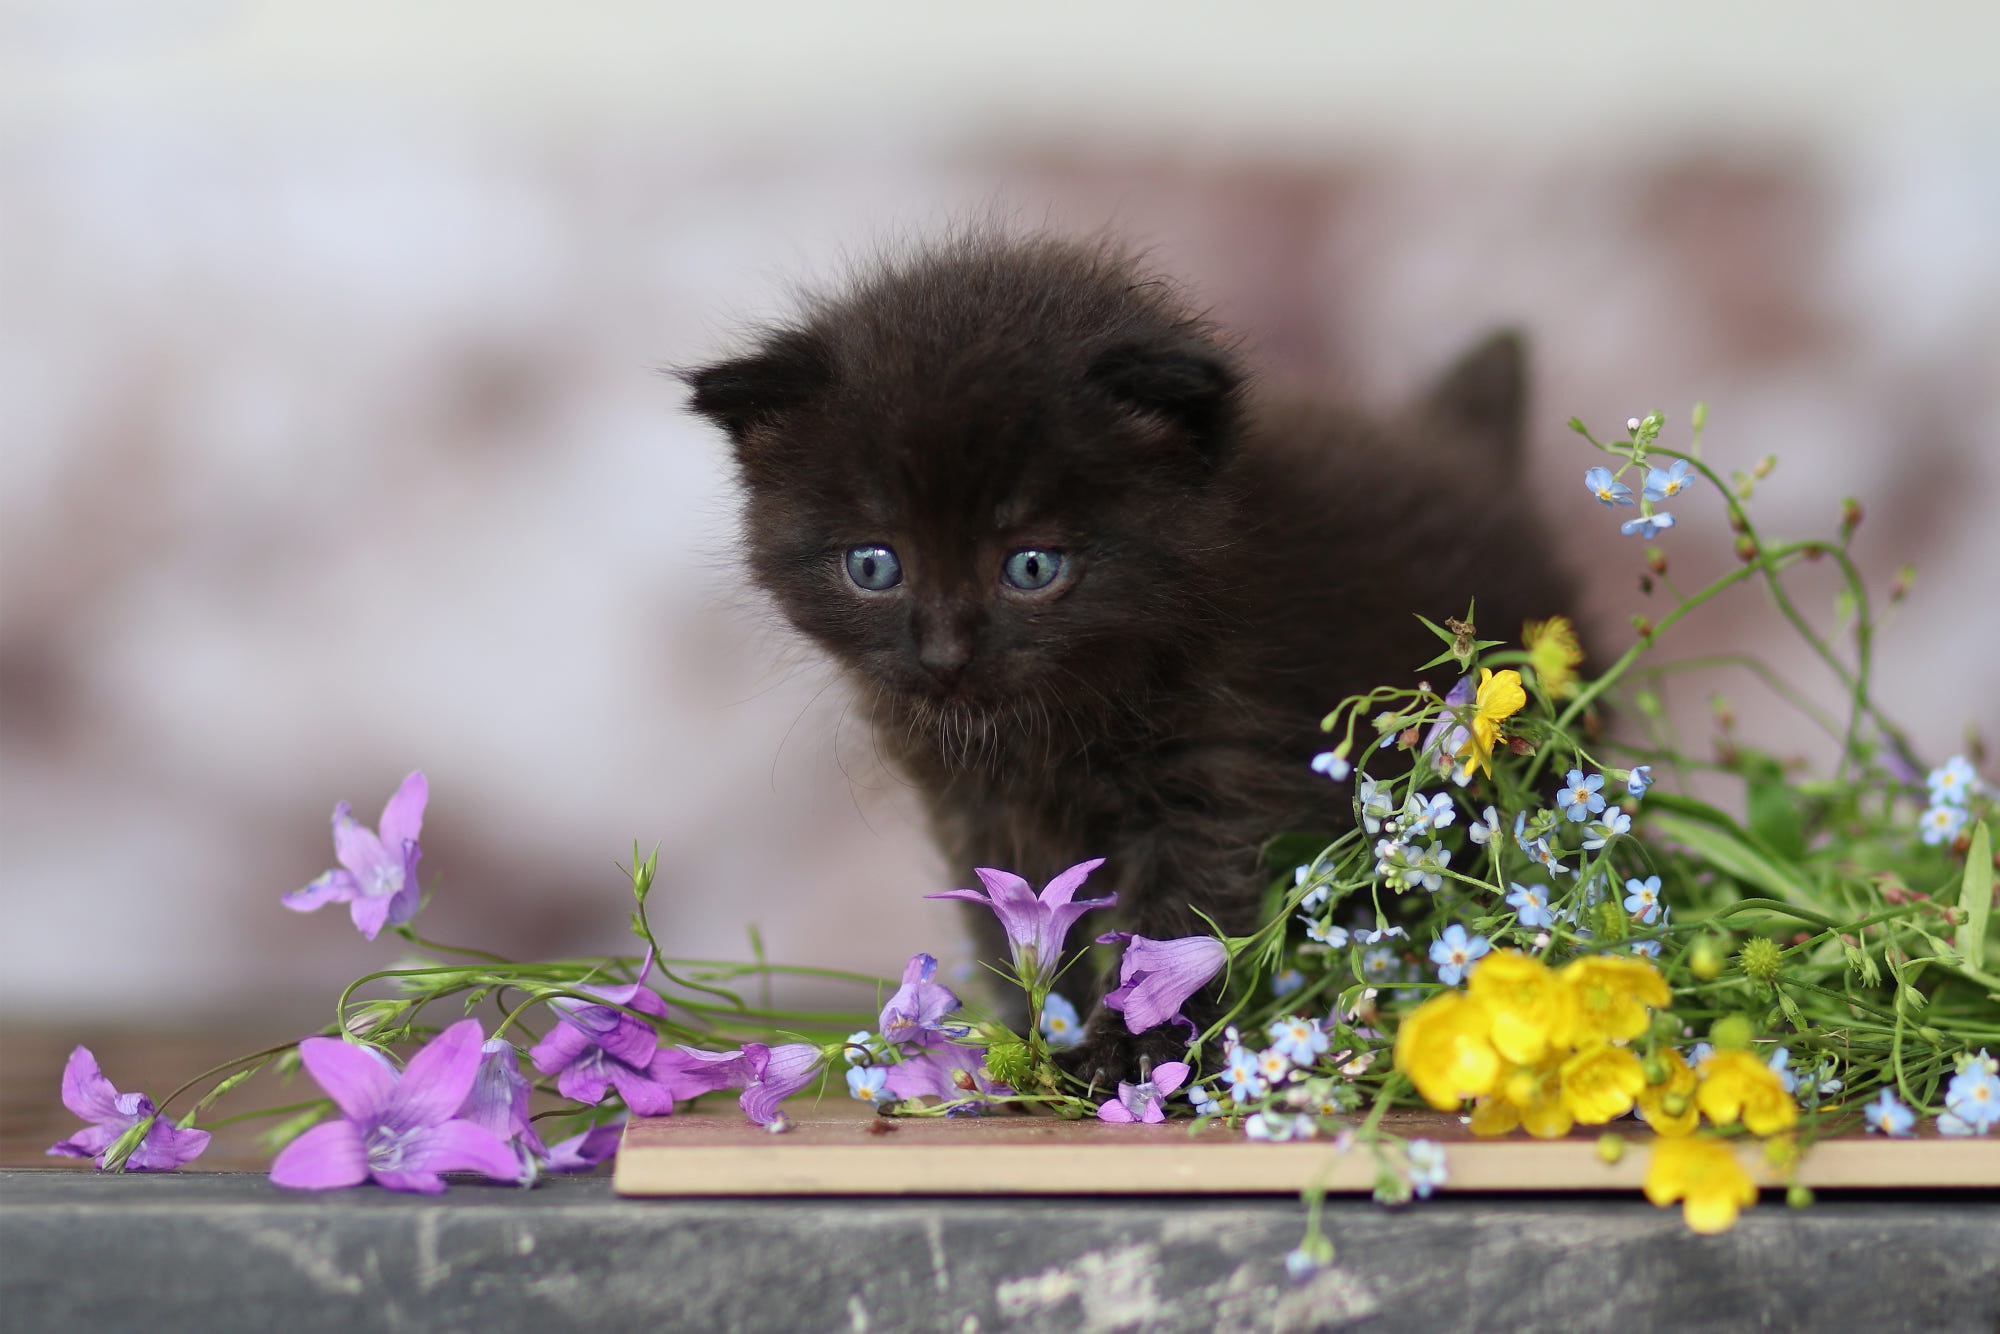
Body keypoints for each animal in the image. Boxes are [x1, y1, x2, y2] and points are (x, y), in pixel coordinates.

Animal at [688, 237, 1576, 1088]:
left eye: (1032, 566)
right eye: (872, 565)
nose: (943, 655)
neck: (1044, 733)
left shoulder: (1224, 761)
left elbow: (1174, 918)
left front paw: (1133, 1051)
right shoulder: (973, 805)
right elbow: (1014, 917)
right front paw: (1034, 1045)